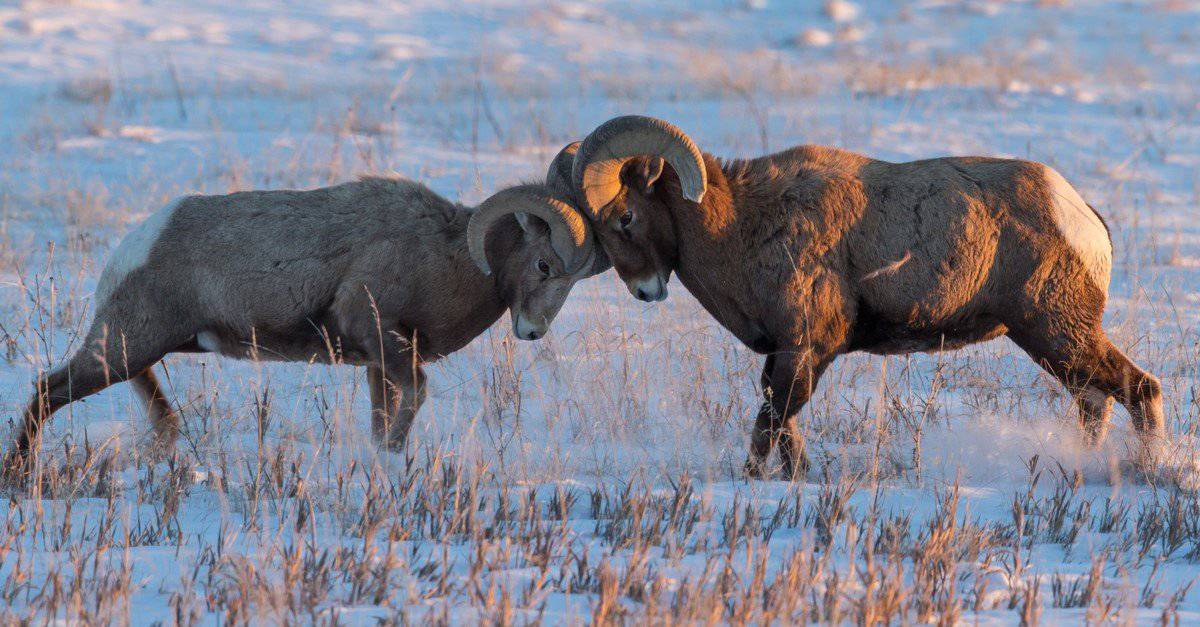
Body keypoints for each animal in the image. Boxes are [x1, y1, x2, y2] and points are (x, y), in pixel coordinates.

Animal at [5, 159, 605, 477]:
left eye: (577, 279)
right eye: (545, 265)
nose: (532, 331)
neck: (448, 256)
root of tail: (136, 244)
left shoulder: (377, 363)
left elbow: (385, 422)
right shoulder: (383, 338)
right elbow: (412, 400)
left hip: (140, 350)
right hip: (123, 347)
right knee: (48, 390)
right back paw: (21, 472)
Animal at [568, 115, 1164, 478]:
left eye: (625, 217)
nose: (646, 290)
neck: (740, 225)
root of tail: (1081, 215)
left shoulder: (804, 349)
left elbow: (770, 423)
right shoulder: (789, 355)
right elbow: (785, 427)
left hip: (1055, 331)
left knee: (1139, 389)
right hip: (1053, 343)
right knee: (1094, 402)